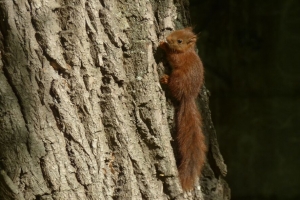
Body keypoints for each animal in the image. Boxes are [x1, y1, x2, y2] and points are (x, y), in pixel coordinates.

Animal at [159, 26, 206, 191]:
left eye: (179, 41)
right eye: (176, 31)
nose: (168, 38)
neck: (186, 51)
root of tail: (188, 97)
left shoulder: (179, 59)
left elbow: (173, 57)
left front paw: (163, 45)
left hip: (178, 78)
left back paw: (165, 79)